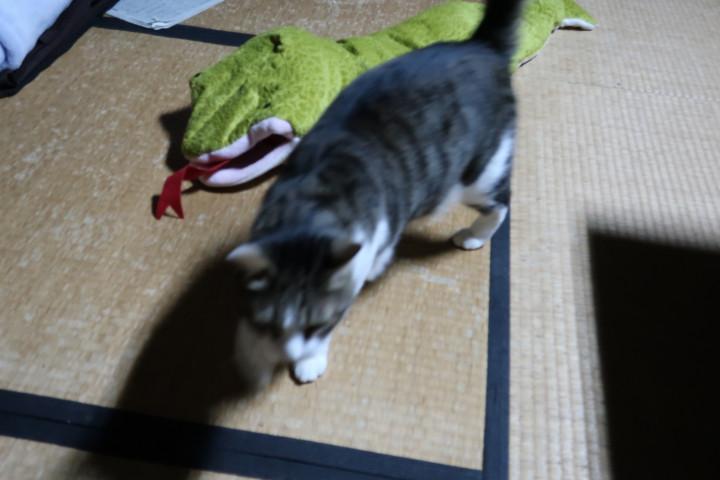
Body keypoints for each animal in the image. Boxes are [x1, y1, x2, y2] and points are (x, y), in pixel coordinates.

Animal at [228, 0, 523, 385]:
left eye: (318, 325)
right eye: (275, 326)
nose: (291, 354)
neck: (307, 209)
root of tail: (482, 45)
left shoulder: (371, 237)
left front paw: (309, 360)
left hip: (480, 173)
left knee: (501, 202)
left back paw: (474, 235)